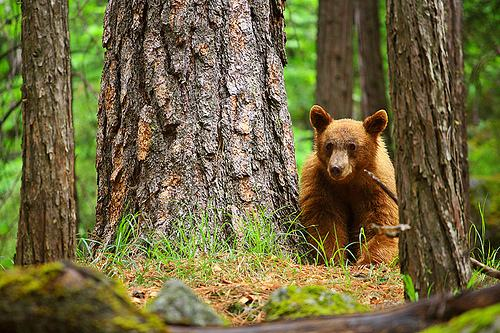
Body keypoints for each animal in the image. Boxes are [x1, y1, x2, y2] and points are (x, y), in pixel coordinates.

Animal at [300, 104, 398, 264]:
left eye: (352, 146)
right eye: (329, 145)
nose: (336, 168)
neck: (349, 181)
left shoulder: (377, 187)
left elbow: (381, 220)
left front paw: (368, 260)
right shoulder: (321, 184)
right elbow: (326, 221)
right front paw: (333, 256)